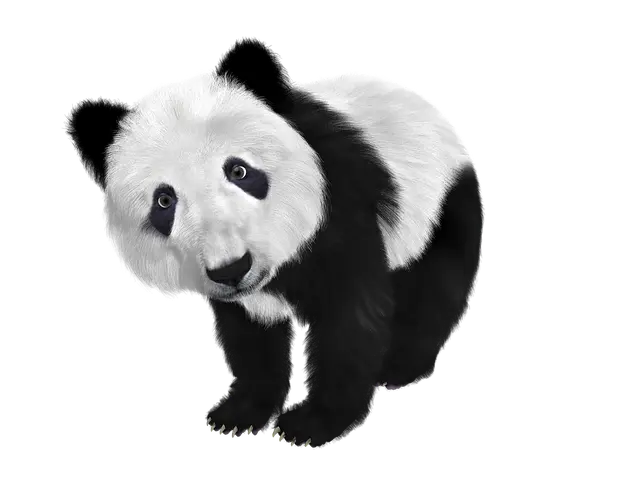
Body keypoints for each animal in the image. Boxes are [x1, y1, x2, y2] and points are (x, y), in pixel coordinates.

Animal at [102, 68, 485, 447]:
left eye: (239, 171)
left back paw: (399, 369)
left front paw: (312, 425)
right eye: (164, 201)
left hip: (441, 204)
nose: (232, 269)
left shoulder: (341, 208)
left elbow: (346, 321)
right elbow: (250, 335)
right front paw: (238, 416)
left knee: (435, 287)